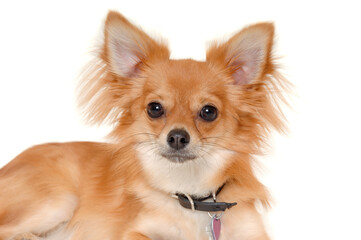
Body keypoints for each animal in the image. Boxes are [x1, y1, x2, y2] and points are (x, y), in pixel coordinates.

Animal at [0, 9, 286, 240]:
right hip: (59, 200)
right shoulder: (133, 231)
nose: (177, 137)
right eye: (155, 108)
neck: (190, 192)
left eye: (208, 112)